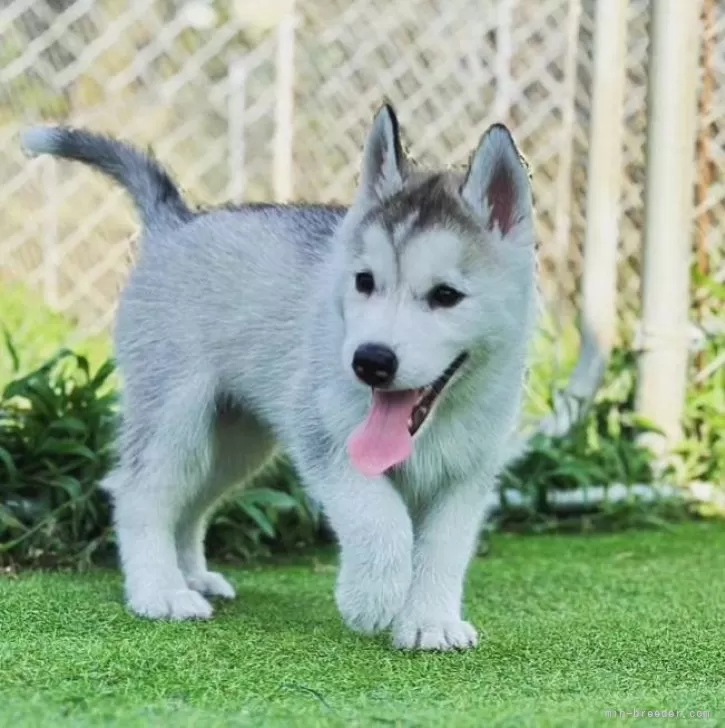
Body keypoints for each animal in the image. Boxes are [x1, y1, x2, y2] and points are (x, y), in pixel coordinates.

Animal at [21, 106, 536, 656]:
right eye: (364, 282)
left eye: (446, 295)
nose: (370, 362)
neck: (436, 421)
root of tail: (178, 222)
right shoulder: (324, 438)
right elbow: (380, 517)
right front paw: (370, 597)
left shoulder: (468, 474)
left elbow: (444, 548)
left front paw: (430, 621)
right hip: (173, 416)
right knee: (141, 491)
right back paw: (160, 590)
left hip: (233, 444)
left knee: (190, 500)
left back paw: (191, 575)